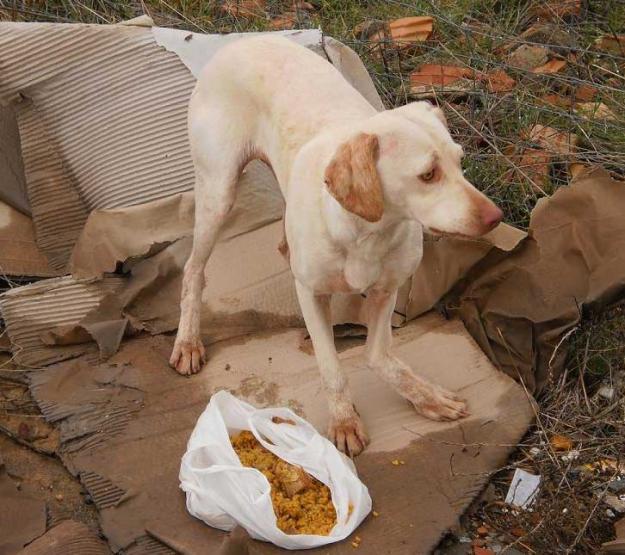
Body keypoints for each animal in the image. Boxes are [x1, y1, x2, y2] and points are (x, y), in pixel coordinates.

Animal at [171, 37, 502, 458]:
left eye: (461, 162)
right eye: (428, 175)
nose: (496, 217)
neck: (368, 233)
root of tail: (240, 41)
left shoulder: (387, 289)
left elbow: (378, 354)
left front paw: (424, 396)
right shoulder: (311, 293)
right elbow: (331, 368)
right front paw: (344, 420)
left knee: (281, 246)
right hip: (218, 192)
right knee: (193, 269)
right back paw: (188, 340)